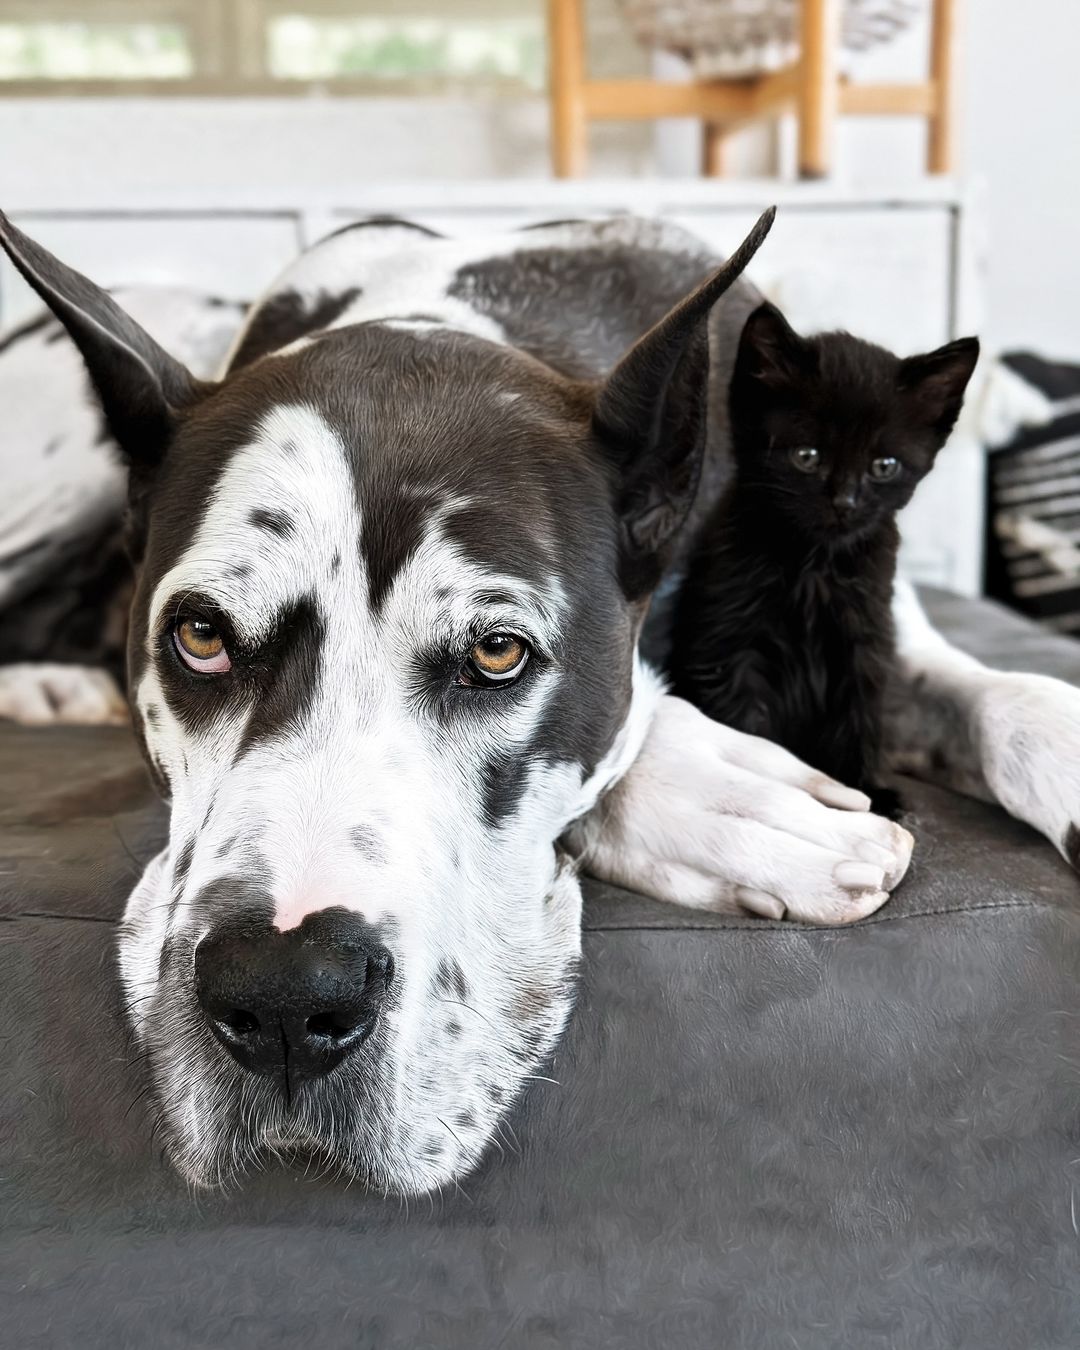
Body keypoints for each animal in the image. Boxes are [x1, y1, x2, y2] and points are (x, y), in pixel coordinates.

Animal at [669, 303, 982, 810]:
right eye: (807, 456)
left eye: (884, 466)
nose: (845, 502)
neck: (815, 564)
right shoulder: (728, 642)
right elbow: (745, 724)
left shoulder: (865, 637)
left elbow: (858, 713)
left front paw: (868, 788)